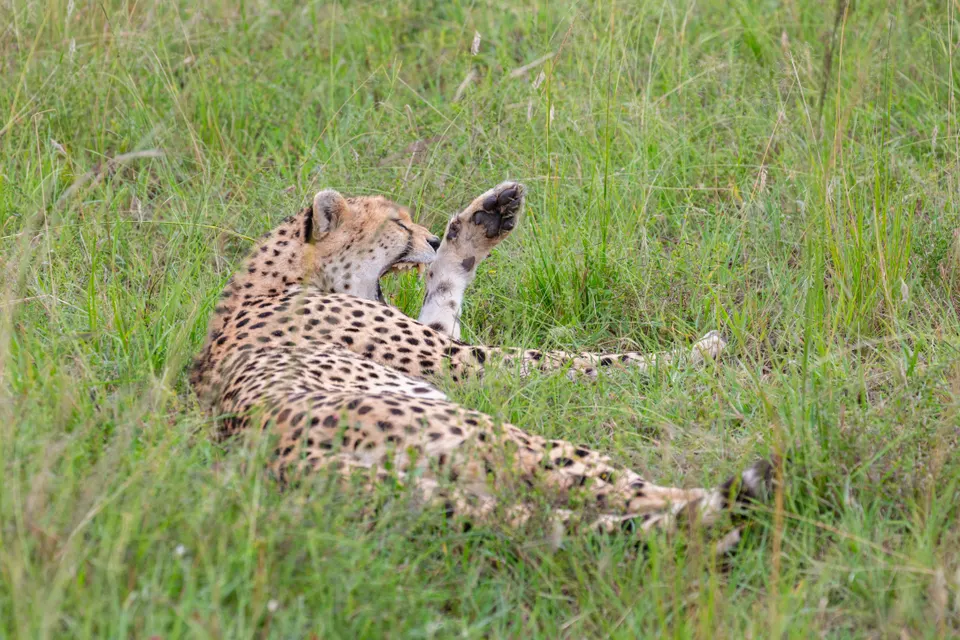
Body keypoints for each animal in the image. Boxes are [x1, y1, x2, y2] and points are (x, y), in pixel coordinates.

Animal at [190, 180, 776, 552]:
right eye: (397, 222)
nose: (427, 237)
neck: (279, 280)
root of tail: (296, 460)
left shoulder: (440, 342)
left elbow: (445, 288)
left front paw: (481, 221)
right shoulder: (460, 362)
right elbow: (567, 362)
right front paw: (687, 356)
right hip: (504, 440)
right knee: (626, 490)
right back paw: (733, 505)